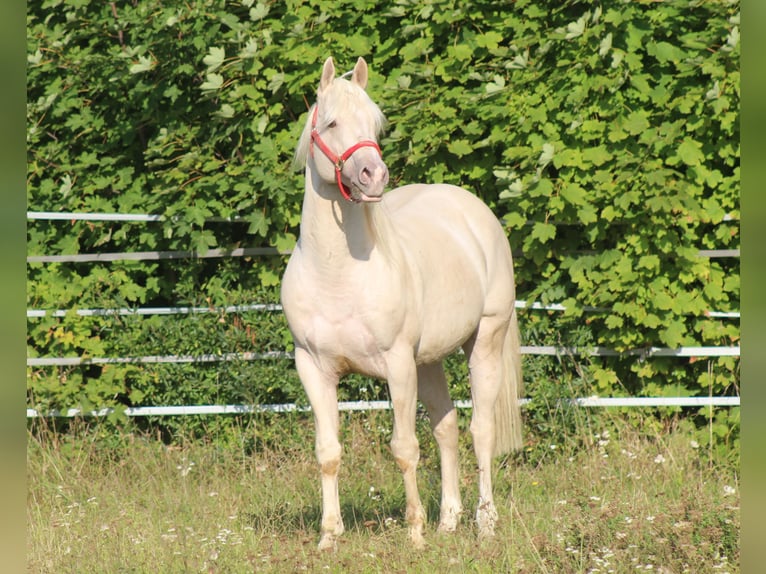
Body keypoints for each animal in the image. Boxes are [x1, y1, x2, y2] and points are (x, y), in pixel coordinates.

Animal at [280, 56, 523, 551]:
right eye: (331, 123)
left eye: (375, 124)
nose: (374, 176)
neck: (337, 274)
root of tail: (473, 210)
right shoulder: (312, 368)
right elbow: (328, 452)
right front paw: (328, 537)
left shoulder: (396, 366)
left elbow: (404, 448)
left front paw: (415, 534)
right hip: (428, 360)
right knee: (447, 428)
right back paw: (449, 520)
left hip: (485, 341)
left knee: (481, 431)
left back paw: (484, 522)